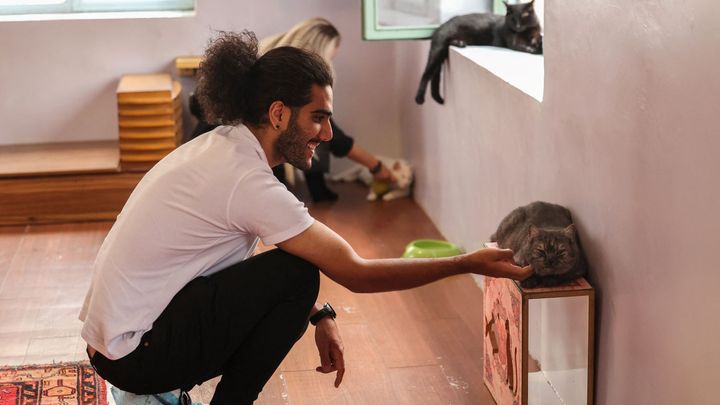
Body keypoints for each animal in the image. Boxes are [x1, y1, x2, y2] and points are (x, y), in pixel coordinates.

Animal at [414, 0, 544, 104]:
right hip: (439, 48)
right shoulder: (514, 42)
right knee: (426, 73)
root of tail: (440, 26)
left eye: (524, 15)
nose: (517, 25)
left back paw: (460, 43)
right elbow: (523, 46)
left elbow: (538, 40)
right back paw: (419, 98)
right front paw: (533, 49)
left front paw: (539, 46)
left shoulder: (536, 35)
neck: (527, 33)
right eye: (512, 18)